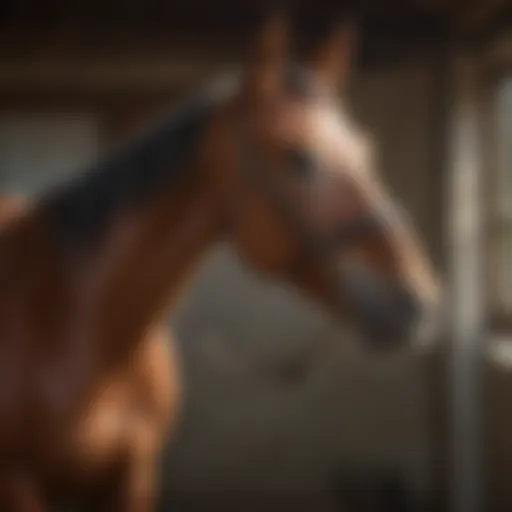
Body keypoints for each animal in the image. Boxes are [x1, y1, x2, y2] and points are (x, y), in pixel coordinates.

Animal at [0, 15, 440, 512]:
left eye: (365, 151)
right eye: (298, 157)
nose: (417, 301)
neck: (80, 322)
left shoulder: (136, 475)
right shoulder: (17, 481)